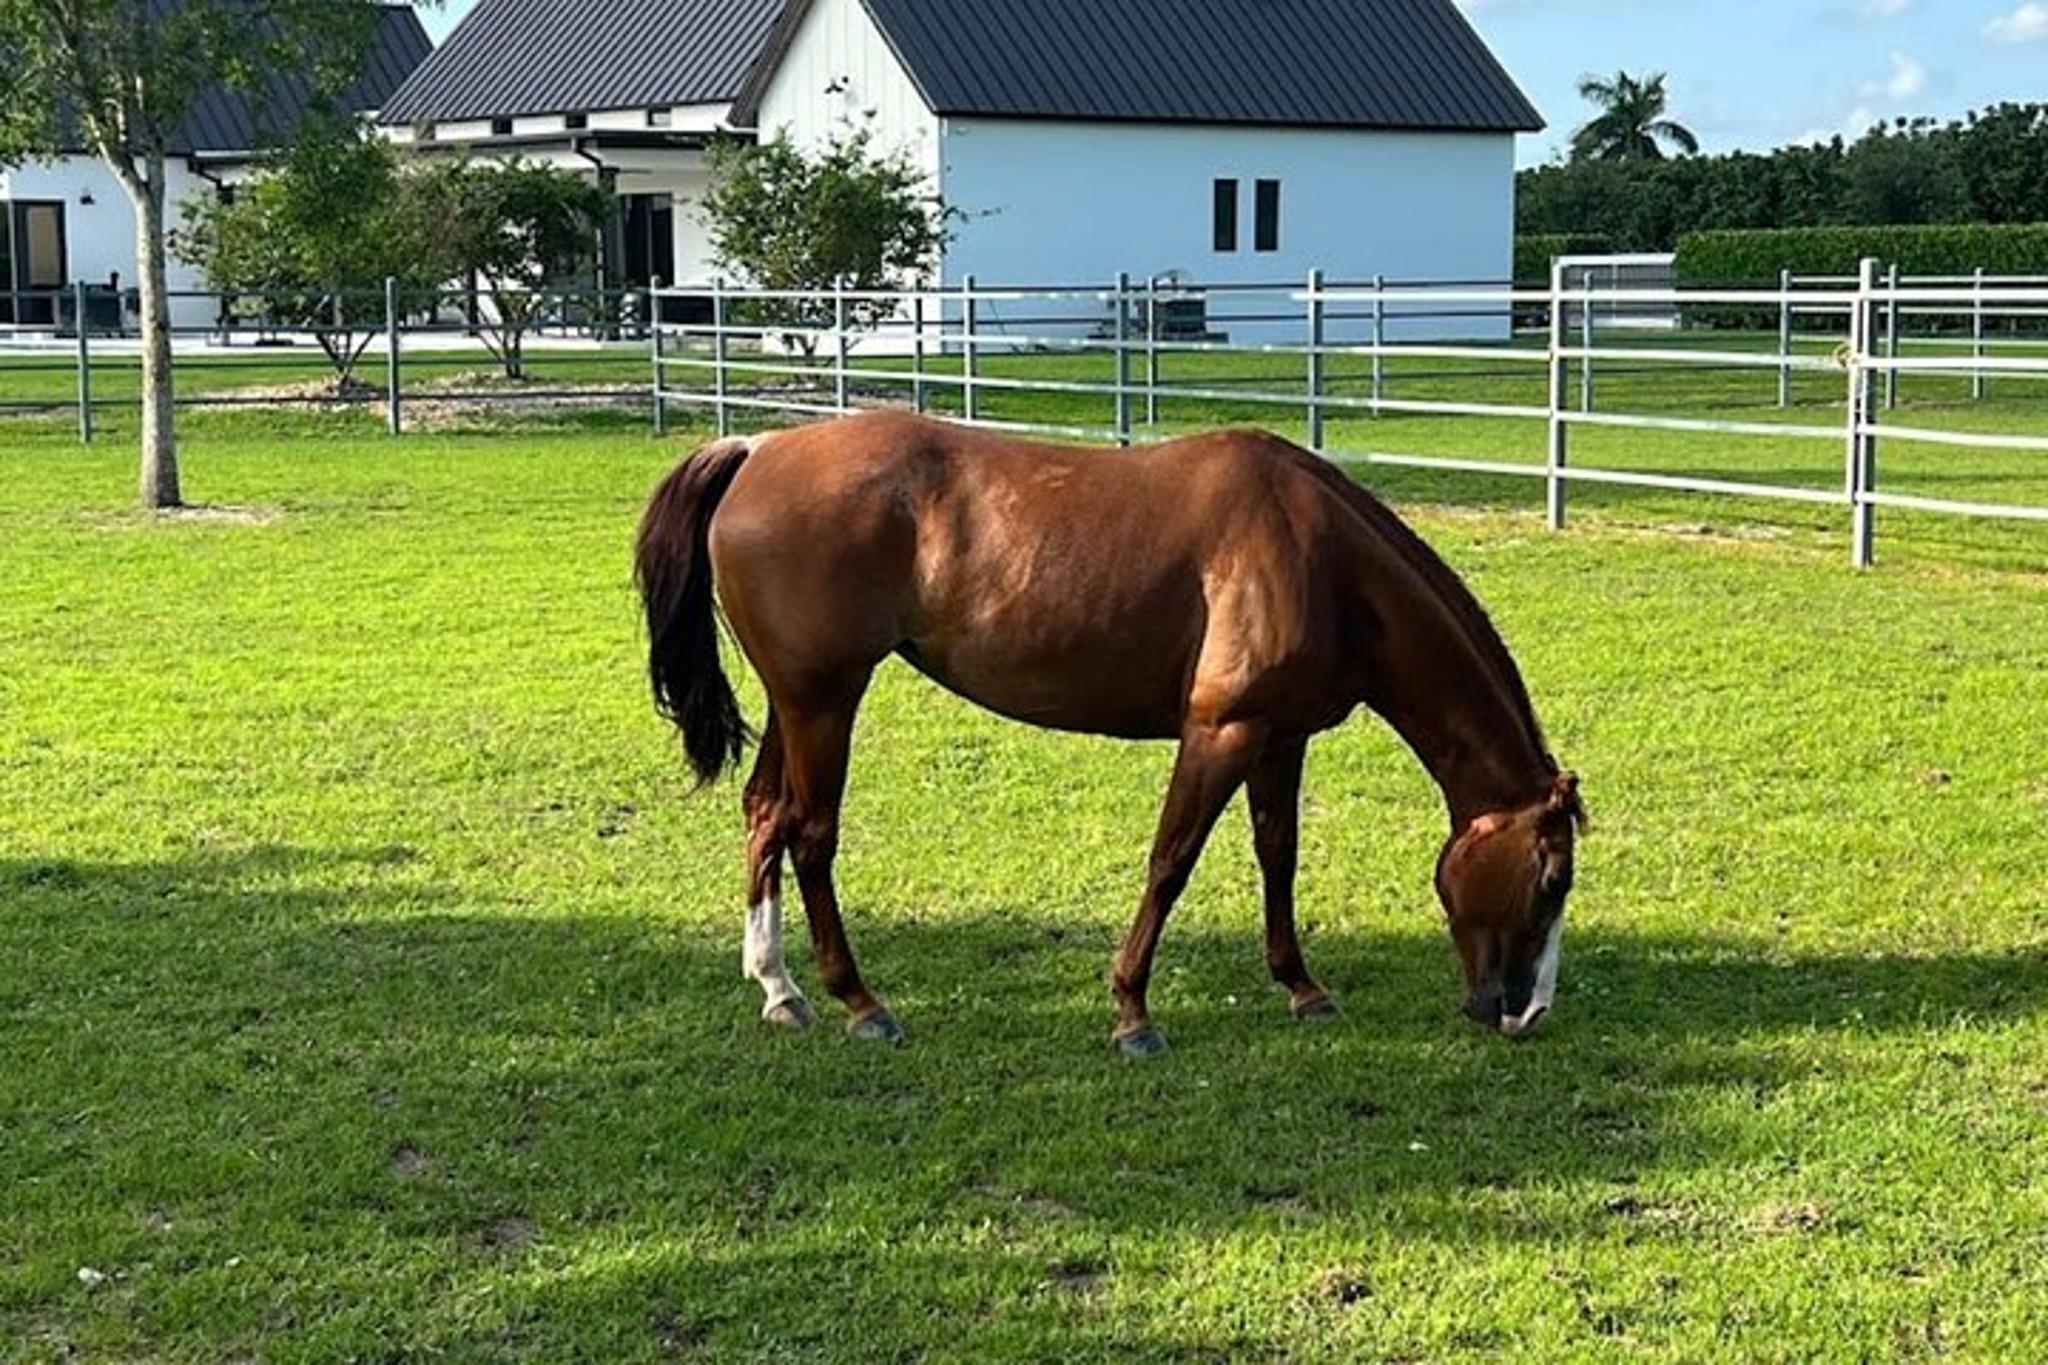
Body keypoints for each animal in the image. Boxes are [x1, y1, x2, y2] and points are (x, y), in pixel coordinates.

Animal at [637, 411, 1585, 1057]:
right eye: (1550, 879)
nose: (1527, 1011)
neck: (1323, 560)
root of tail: (758, 449)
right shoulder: (1220, 732)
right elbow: (1171, 861)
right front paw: (1133, 1010)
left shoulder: (1281, 738)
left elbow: (1277, 854)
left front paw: (1301, 985)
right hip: (825, 701)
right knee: (812, 835)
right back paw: (860, 1001)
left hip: (800, 701)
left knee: (766, 814)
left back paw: (780, 987)